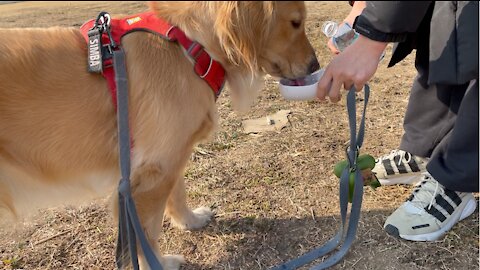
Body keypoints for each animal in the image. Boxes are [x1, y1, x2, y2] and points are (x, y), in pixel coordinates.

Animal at [0, 1, 318, 268]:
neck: (191, 46)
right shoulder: (151, 174)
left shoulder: (170, 157)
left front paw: (190, 221)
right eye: (295, 22)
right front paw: (160, 263)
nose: (315, 65)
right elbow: (147, 231)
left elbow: (178, 191)